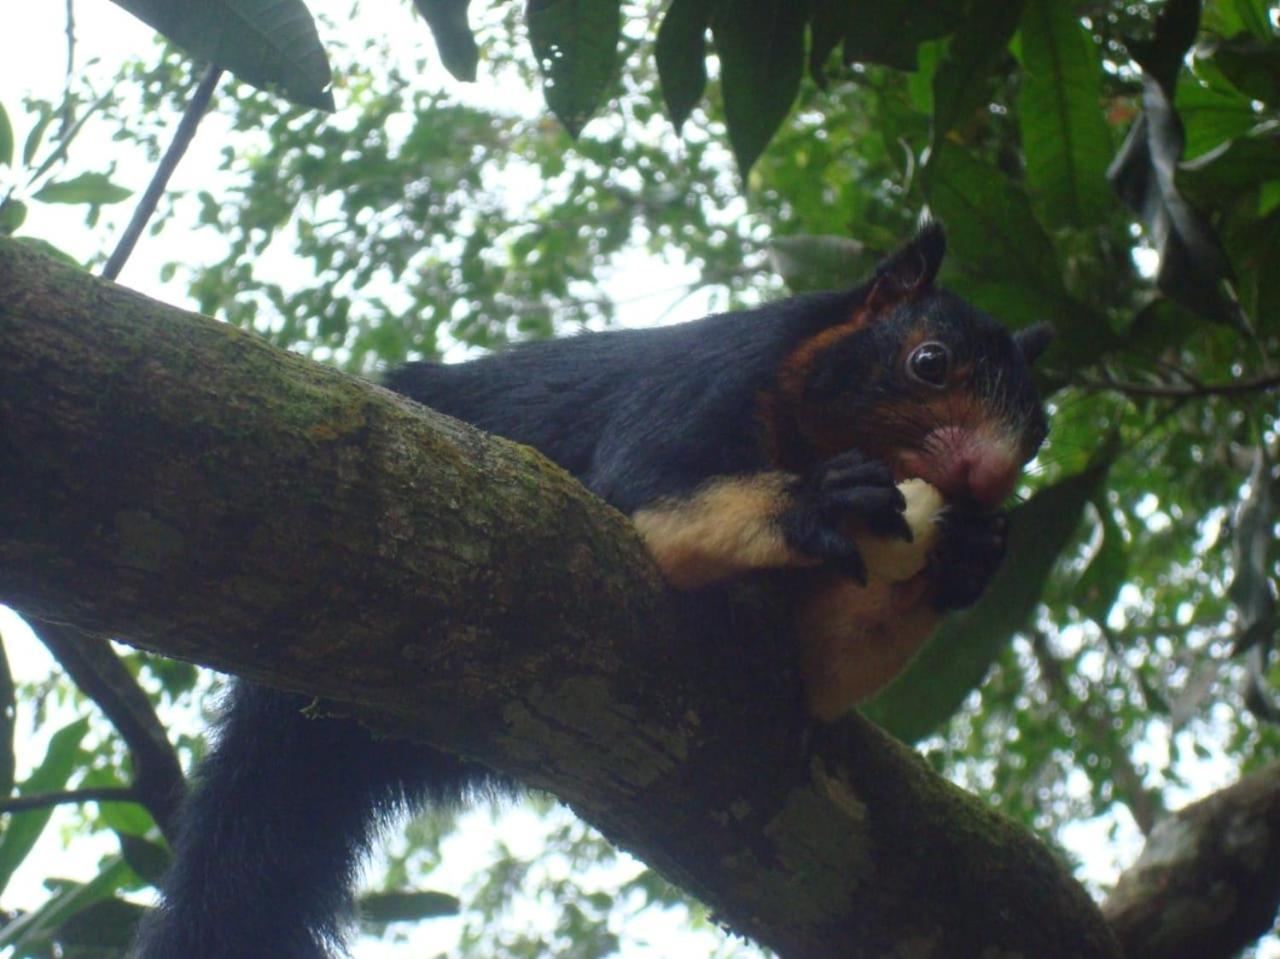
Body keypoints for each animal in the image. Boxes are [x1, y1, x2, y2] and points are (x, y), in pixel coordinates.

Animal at [129, 224, 1049, 957]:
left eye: (1039, 432)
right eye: (928, 362)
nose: (988, 474)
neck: (810, 424)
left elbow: (819, 670)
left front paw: (967, 549)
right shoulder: (710, 378)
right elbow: (647, 495)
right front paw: (821, 500)